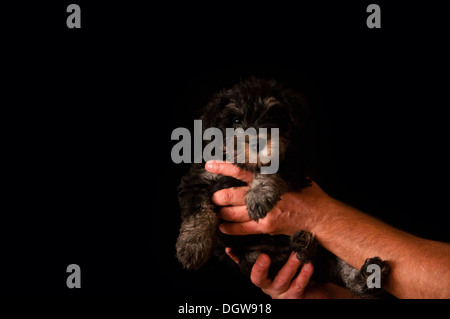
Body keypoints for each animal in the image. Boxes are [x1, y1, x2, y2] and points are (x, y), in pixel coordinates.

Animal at [176, 77, 390, 300]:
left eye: (272, 117)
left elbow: (273, 168)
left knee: (338, 268)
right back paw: (306, 246)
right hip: (257, 259)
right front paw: (191, 247)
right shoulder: (200, 178)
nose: (258, 143)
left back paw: (367, 275)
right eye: (235, 121)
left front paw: (259, 195)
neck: (247, 166)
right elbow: (198, 213)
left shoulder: (295, 162)